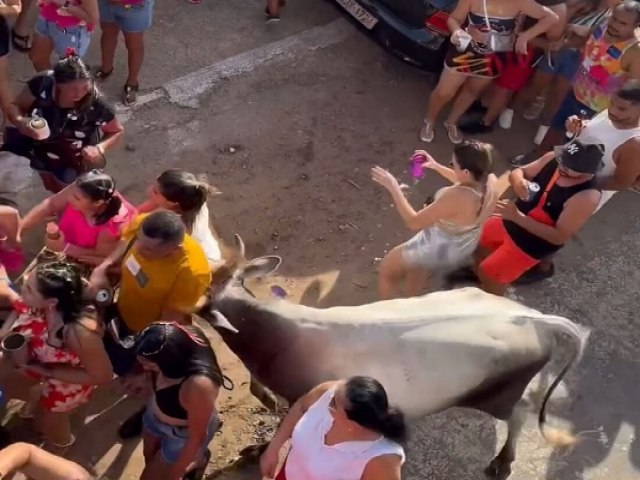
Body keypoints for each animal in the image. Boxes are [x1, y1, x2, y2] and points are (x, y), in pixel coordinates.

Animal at [199, 237, 584, 480]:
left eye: (202, 305)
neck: (274, 333)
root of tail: (535, 318)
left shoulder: (299, 393)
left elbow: (286, 425)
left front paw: (259, 450)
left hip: (498, 394)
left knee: (521, 411)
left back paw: (502, 462)